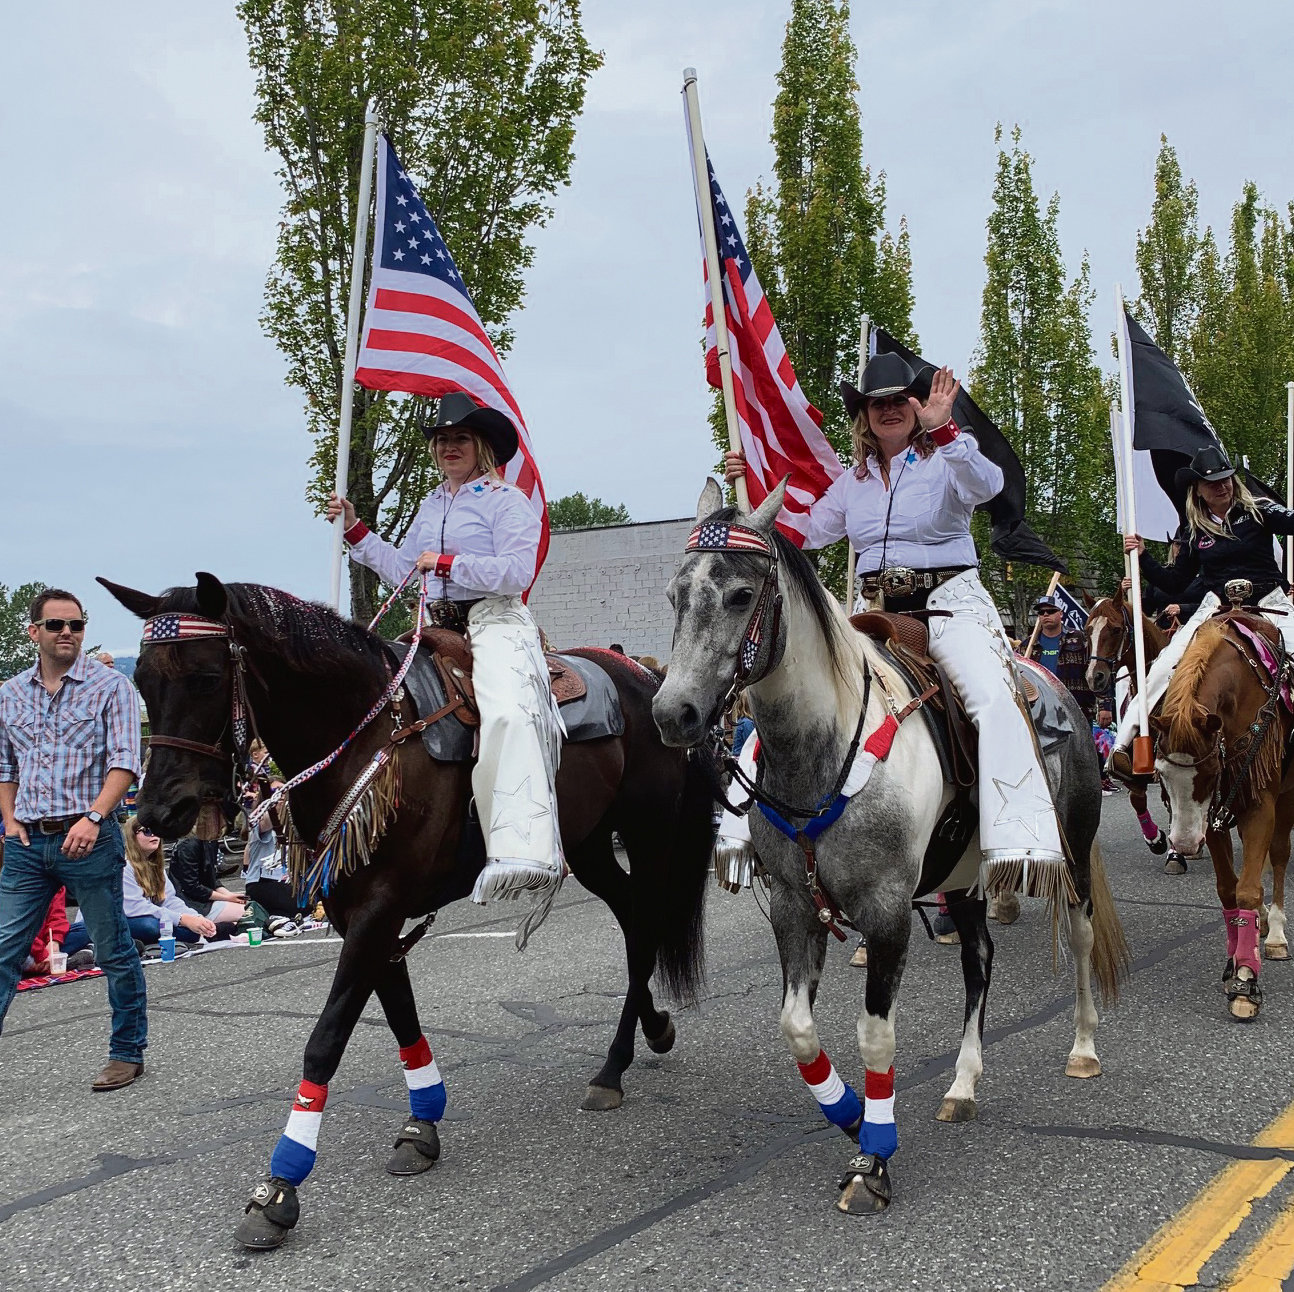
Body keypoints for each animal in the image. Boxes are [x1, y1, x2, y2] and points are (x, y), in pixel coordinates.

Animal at [100, 577, 719, 1253]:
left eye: (207, 678)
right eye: (143, 683)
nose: (157, 814)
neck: (364, 738)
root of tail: (646, 678)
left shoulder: (379, 908)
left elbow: (326, 1041)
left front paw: (280, 1187)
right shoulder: (363, 914)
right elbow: (398, 1013)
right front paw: (422, 1125)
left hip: (649, 833)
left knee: (646, 925)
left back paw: (613, 1066)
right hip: (588, 846)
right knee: (635, 920)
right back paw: (649, 1033)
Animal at [652, 486, 1128, 1222]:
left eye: (738, 595)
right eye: (677, 594)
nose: (672, 714)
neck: (821, 750)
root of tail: (1060, 692)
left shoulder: (886, 911)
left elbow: (876, 1034)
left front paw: (872, 1160)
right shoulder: (794, 907)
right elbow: (797, 1027)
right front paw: (850, 1115)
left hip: (1070, 853)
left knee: (1077, 936)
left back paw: (1082, 1046)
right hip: (962, 877)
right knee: (978, 960)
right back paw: (962, 1084)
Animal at [1154, 616, 1294, 1020]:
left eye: (1210, 772)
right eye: (1161, 775)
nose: (1184, 844)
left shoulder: (1259, 806)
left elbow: (1248, 888)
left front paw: (1246, 982)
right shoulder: (1212, 818)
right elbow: (1228, 889)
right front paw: (1234, 962)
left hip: (1286, 797)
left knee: (1279, 857)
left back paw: (1275, 933)